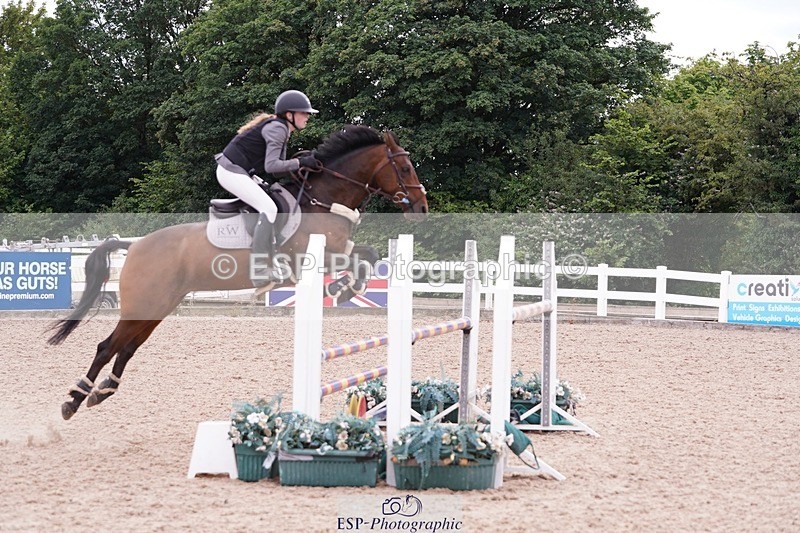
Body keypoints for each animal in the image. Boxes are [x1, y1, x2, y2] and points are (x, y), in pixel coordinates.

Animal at [48, 125, 428, 420]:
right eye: (405, 167)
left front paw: (345, 289)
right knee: (106, 346)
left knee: (126, 348)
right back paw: (74, 399)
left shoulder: (340, 250)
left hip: (157, 308)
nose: (422, 208)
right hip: (143, 305)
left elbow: (368, 256)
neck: (322, 199)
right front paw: (342, 289)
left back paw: (102, 391)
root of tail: (135, 245)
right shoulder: (314, 255)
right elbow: (359, 261)